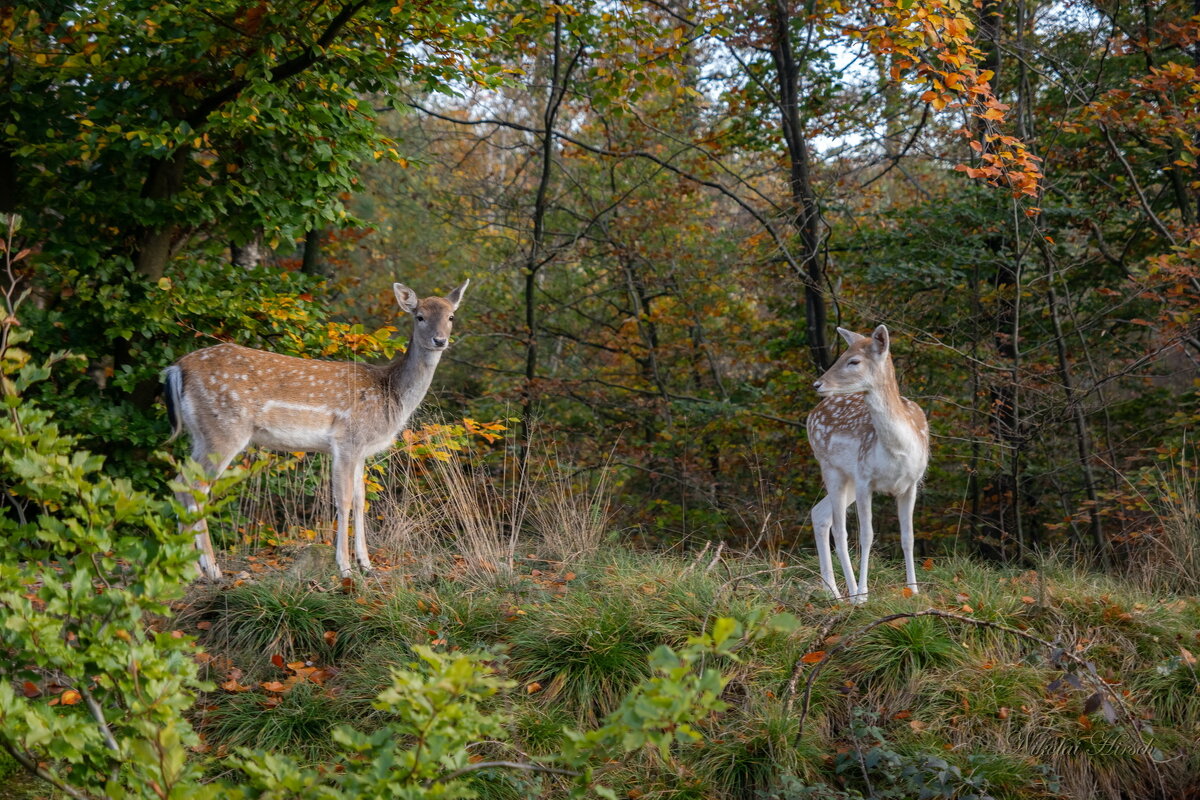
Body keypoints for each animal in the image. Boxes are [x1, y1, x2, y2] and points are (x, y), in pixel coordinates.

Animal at [163, 281, 468, 582]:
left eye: (451, 317)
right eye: (420, 317)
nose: (440, 340)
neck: (391, 394)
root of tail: (176, 368)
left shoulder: (361, 450)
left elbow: (361, 500)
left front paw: (366, 564)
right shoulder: (347, 440)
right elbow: (343, 500)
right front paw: (345, 567)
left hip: (199, 433)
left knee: (180, 481)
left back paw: (188, 570)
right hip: (224, 429)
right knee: (197, 487)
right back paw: (211, 570)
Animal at [806, 321, 926, 604]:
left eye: (854, 361)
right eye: (841, 355)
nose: (817, 384)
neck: (899, 450)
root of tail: (811, 415)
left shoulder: (911, 484)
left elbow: (908, 536)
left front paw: (914, 590)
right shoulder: (864, 479)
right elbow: (867, 535)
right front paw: (863, 594)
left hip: (846, 478)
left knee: (820, 514)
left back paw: (833, 592)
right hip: (831, 468)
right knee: (839, 530)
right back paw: (850, 595)